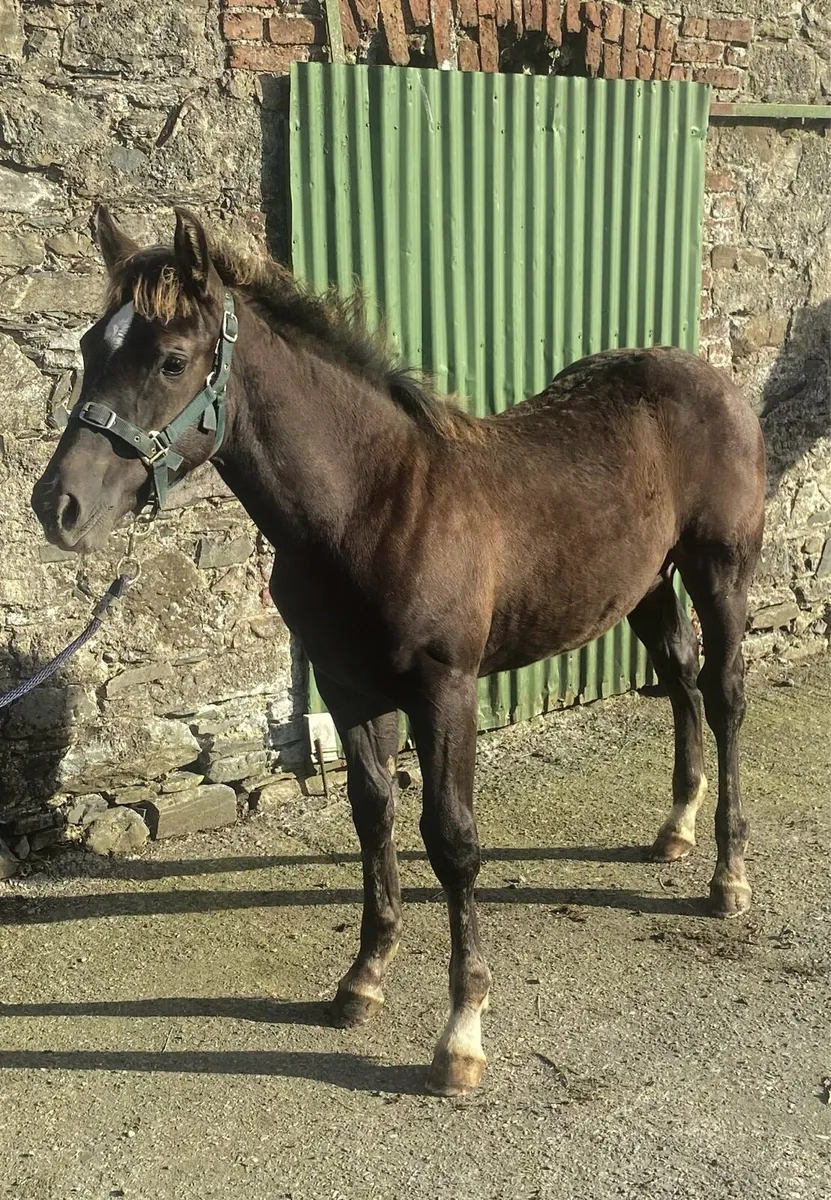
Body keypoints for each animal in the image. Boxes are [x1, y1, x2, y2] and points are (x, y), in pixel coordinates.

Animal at [32, 207, 765, 1096]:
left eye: (172, 359)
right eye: (87, 347)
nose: (58, 505)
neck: (369, 504)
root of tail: (707, 376)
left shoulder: (444, 689)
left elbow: (450, 839)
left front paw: (461, 1035)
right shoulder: (349, 686)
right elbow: (372, 814)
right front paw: (363, 979)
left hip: (720, 570)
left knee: (724, 693)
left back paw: (726, 876)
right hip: (647, 584)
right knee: (680, 677)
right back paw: (675, 829)